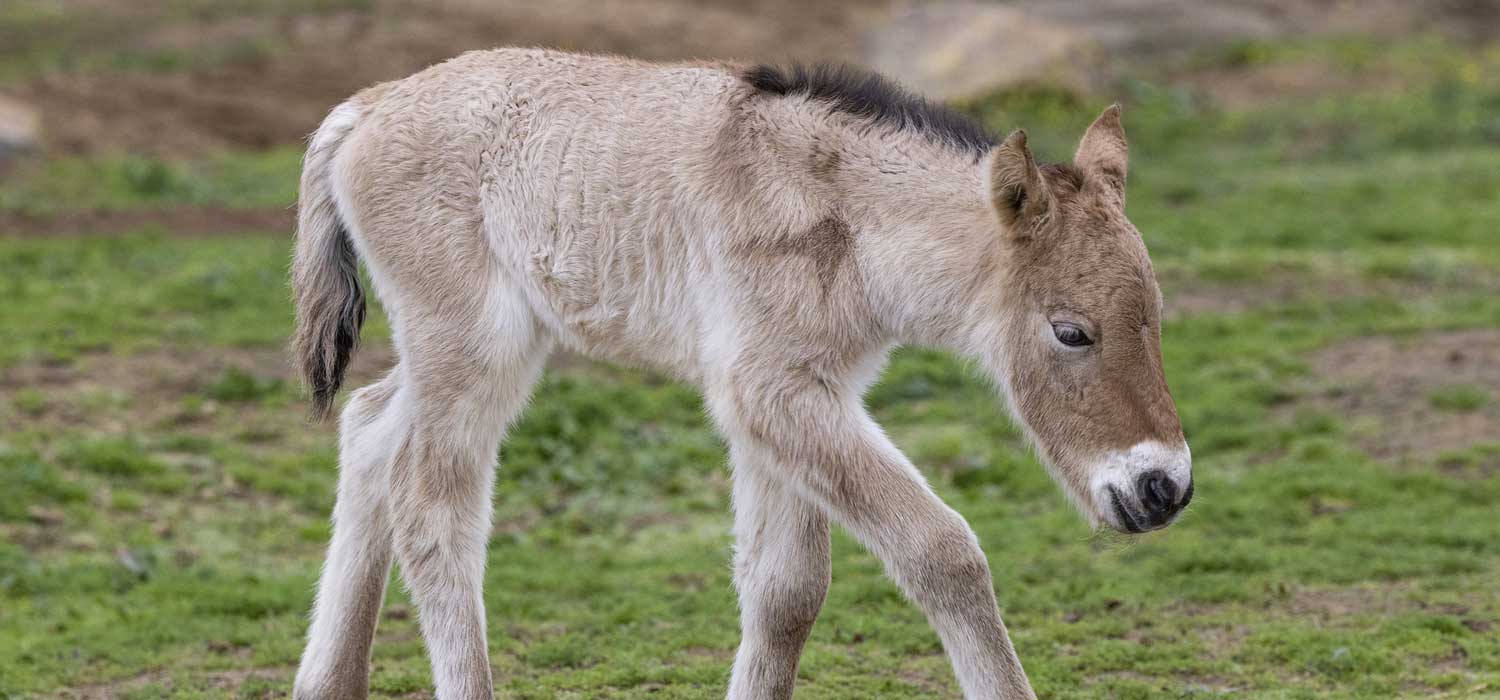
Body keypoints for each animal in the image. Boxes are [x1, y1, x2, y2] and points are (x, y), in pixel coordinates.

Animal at [289, 50, 1194, 700]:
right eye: (1071, 332)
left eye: (1156, 311)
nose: (1164, 489)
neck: (843, 217)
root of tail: (368, 104)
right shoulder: (768, 390)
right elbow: (943, 553)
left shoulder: (802, 396)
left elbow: (785, 593)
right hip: (472, 348)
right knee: (430, 509)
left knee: (368, 423)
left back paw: (326, 684)